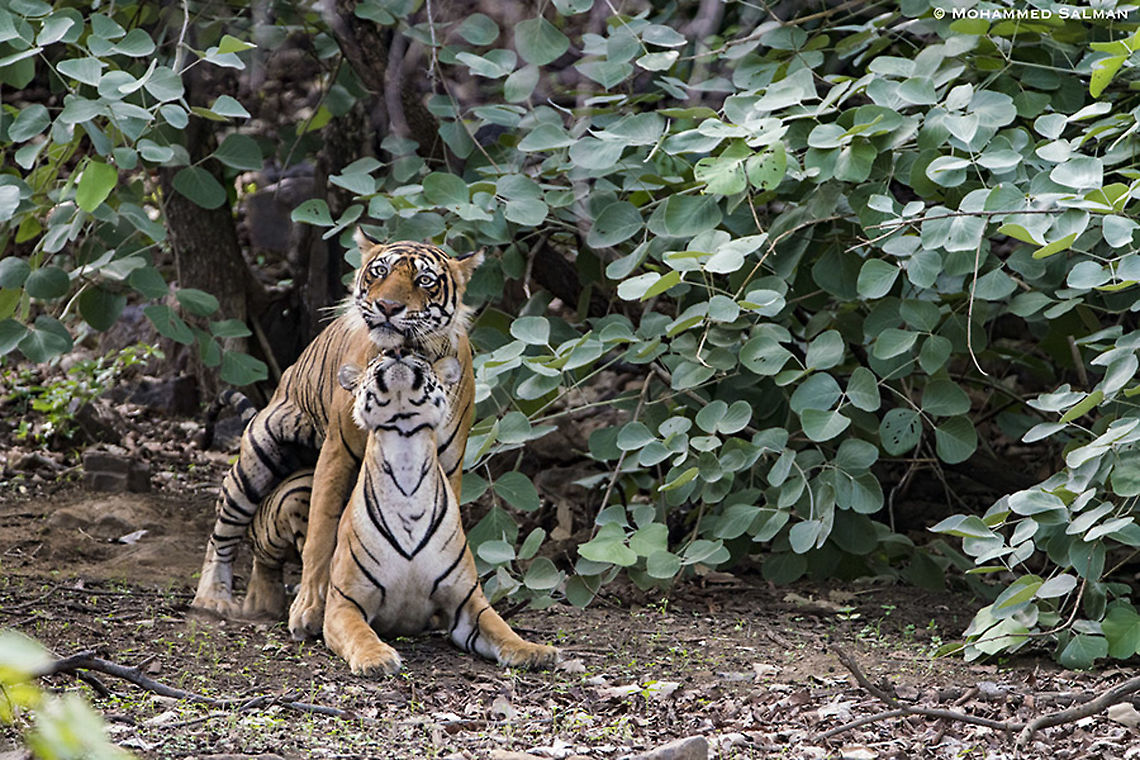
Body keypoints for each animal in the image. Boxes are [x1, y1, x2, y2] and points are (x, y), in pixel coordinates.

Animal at [191, 233, 483, 641]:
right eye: (379, 272)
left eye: (424, 281)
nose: (388, 306)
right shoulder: (338, 451)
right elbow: (321, 530)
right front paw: (310, 608)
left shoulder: (449, 459)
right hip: (256, 460)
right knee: (224, 530)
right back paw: (213, 597)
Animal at [325, 349, 560, 673]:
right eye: (377, 358)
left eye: (418, 357)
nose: (397, 350)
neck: (405, 447)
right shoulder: (344, 601)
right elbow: (359, 632)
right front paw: (376, 658)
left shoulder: (467, 600)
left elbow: (500, 627)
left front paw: (533, 650)